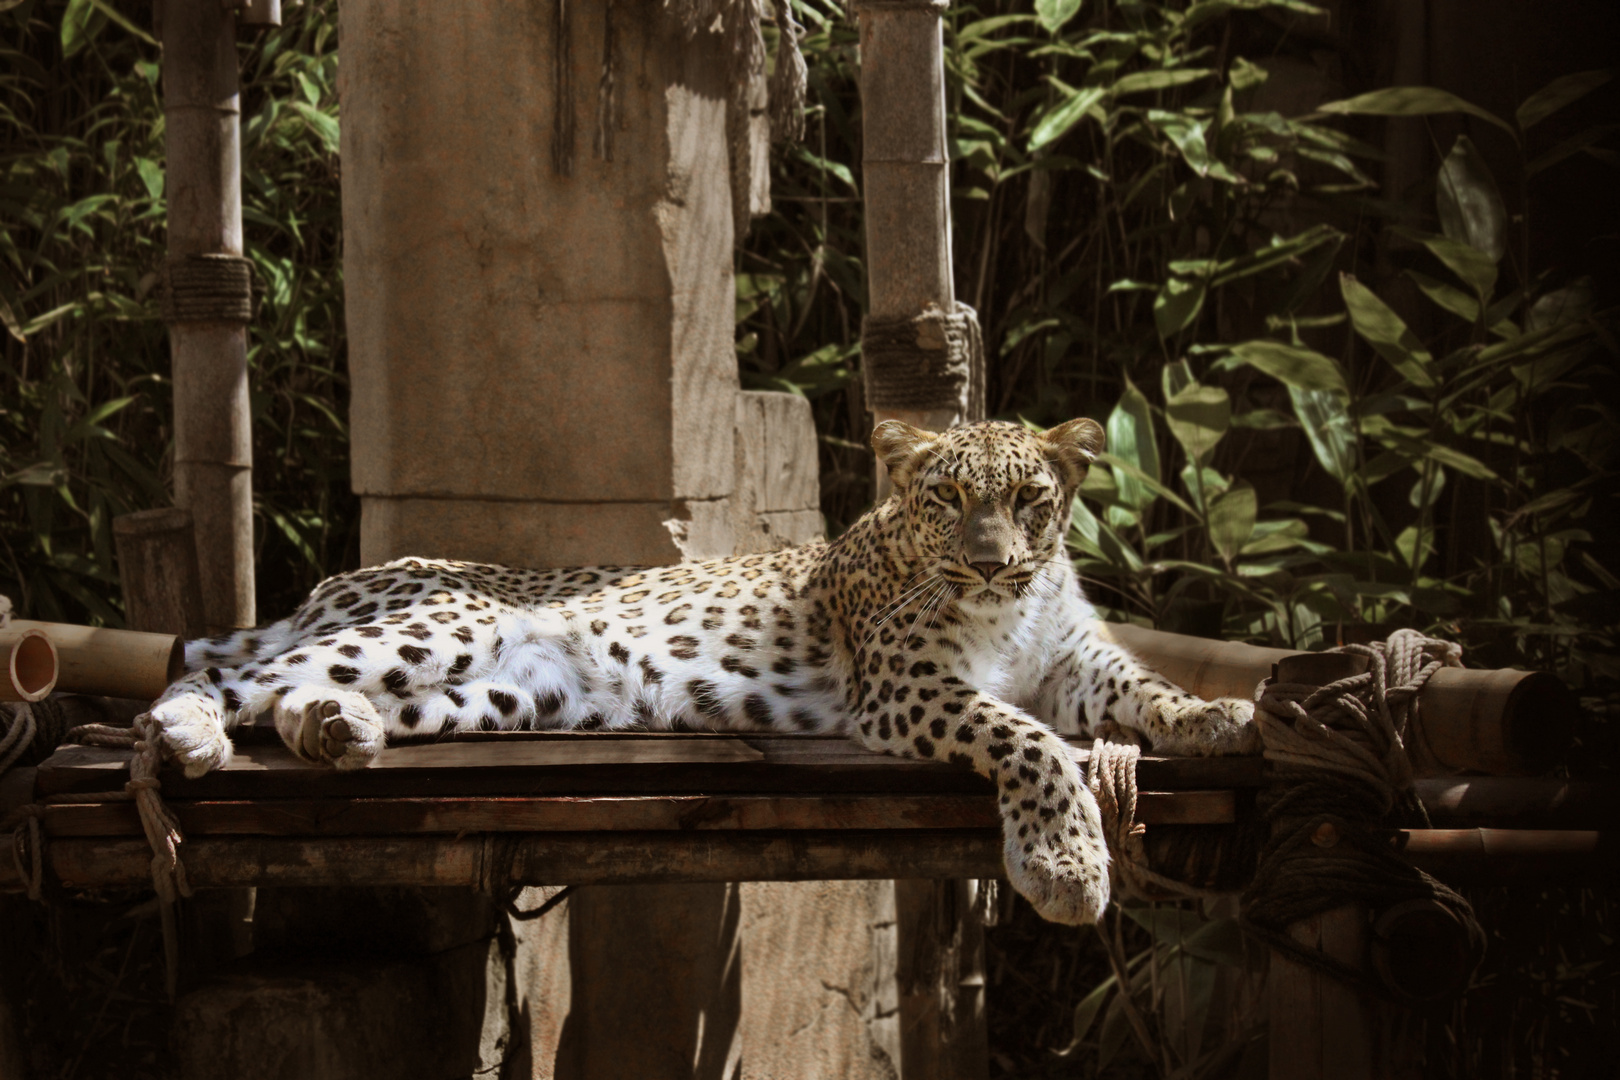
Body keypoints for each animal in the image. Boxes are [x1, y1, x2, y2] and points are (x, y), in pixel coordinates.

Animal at [145, 417, 1250, 926]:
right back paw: (189, 733)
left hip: (506, 693)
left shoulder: (1079, 664)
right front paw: (1066, 867)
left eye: (1028, 500)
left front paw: (1219, 717)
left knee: (295, 695)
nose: (987, 562)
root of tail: (334, 579)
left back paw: (341, 731)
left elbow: (1145, 690)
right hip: (447, 619)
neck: (1010, 611)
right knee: (224, 679)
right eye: (946, 499)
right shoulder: (903, 688)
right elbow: (1030, 742)